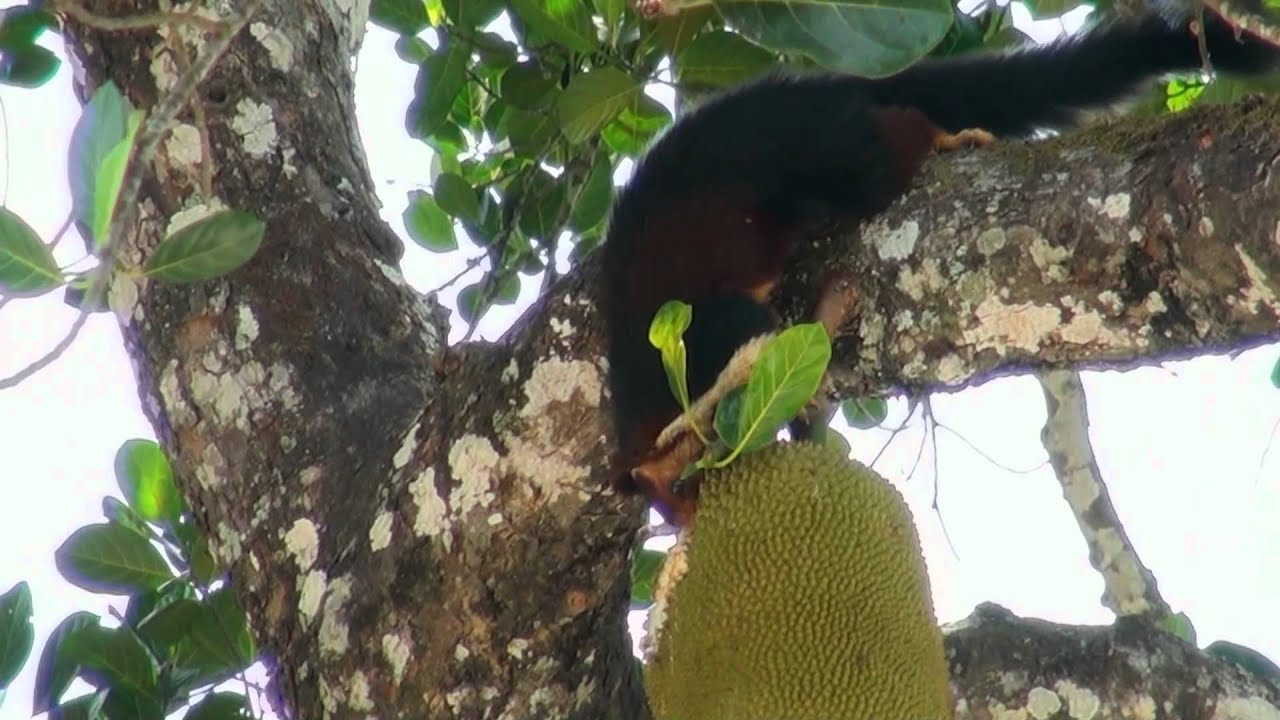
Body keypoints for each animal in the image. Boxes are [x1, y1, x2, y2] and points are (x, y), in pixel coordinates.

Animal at [600, 9, 1279, 524]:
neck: (645, 400)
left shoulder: (700, 330)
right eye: (676, 507)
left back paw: (940, 139)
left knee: (880, 154)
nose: (693, 521)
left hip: (817, 149)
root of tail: (822, 88)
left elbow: (763, 339)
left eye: (690, 484)